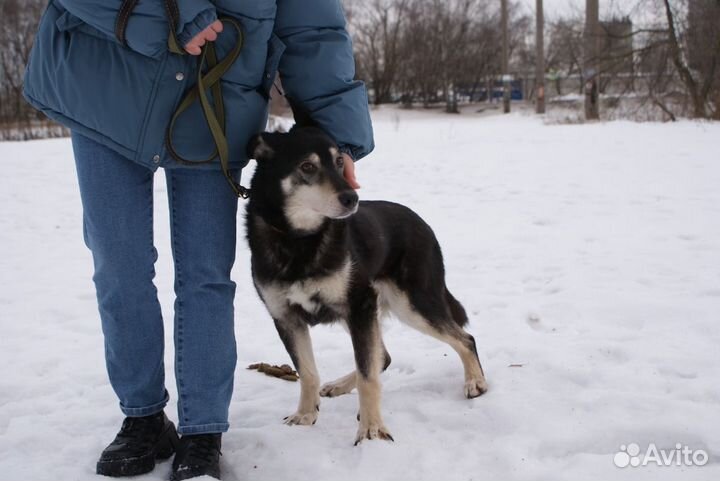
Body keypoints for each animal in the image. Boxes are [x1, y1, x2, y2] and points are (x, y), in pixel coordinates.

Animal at [248, 123, 490, 442]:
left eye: (339, 161)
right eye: (307, 166)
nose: (352, 198)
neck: (299, 240)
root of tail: (422, 223)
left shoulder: (359, 305)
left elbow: (367, 375)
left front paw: (372, 429)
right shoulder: (287, 318)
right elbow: (309, 372)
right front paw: (305, 415)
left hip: (409, 304)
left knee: (464, 338)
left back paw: (475, 381)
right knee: (384, 356)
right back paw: (339, 385)